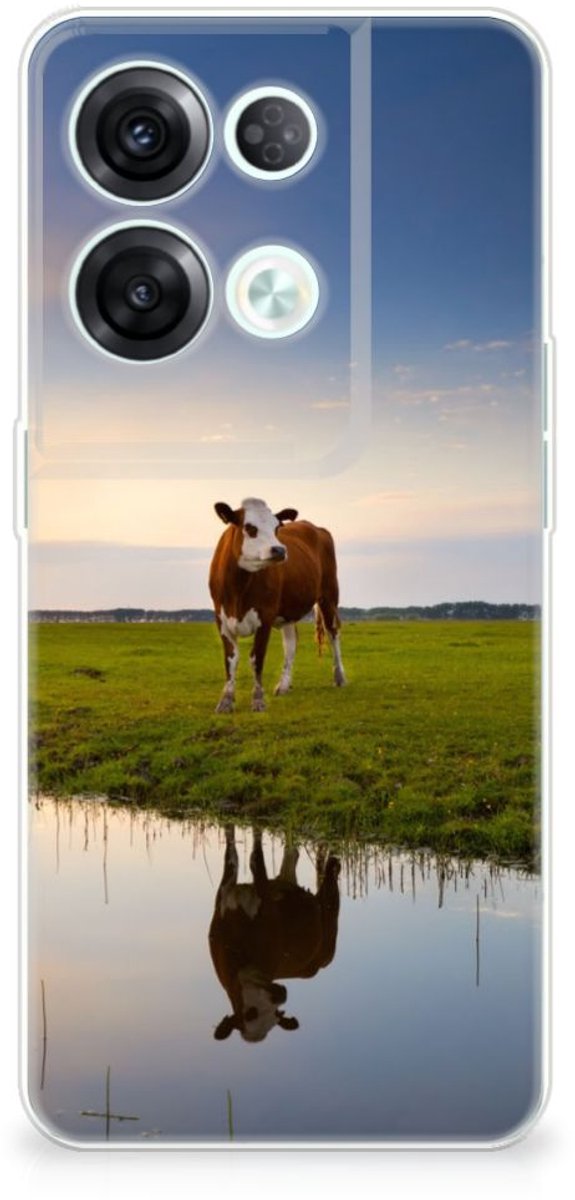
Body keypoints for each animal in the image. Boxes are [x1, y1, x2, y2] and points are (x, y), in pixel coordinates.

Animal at [208, 497, 345, 713]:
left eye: (276, 527)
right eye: (250, 527)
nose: (280, 550)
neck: (238, 589)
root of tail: (315, 527)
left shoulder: (265, 616)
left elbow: (256, 658)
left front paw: (258, 700)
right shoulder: (221, 619)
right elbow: (231, 659)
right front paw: (226, 701)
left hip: (329, 595)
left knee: (333, 633)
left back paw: (339, 676)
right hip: (289, 611)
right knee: (291, 643)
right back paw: (284, 685)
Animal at [208, 826, 341, 1043]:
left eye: (276, 1015)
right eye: (250, 1013)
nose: (281, 995)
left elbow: (255, 858)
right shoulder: (224, 894)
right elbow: (231, 853)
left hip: (329, 925)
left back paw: (333, 862)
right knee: (292, 854)